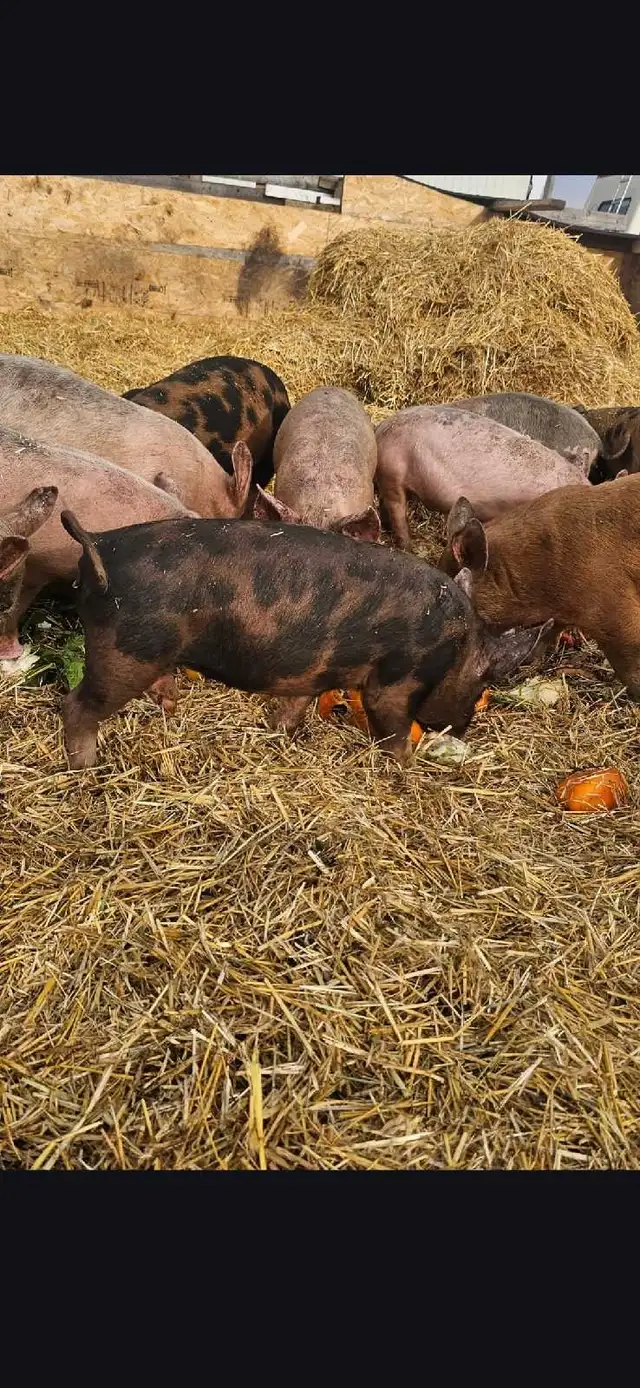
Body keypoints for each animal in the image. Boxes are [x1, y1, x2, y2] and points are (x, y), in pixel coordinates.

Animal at [58, 511, 550, 771]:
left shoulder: (314, 673)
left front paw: (280, 734)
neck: (457, 646)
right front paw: (406, 771)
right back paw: (86, 768)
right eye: (484, 682)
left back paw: (169, 709)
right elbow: (391, 728)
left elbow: (295, 705)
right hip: (124, 653)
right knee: (75, 705)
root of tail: (99, 546)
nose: (461, 729)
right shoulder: (395, 680)